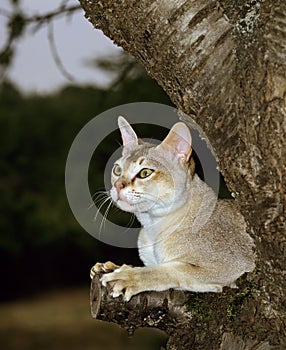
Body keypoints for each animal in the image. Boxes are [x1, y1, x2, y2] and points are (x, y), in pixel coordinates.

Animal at [90, 115, 256, 300]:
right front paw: (111, 266)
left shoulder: (234, 267)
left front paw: (128, 276)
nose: (118, 186)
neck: (152, 227)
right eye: (117, 170)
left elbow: (171, 269)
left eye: (145, 173)